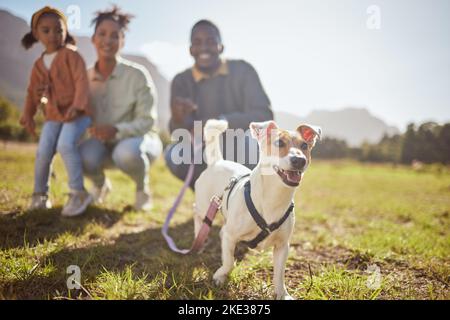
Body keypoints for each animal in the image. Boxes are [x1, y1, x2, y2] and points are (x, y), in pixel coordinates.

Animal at [193, 118, 320, 300]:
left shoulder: (282, 246)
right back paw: (199, 237)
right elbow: (229, 262)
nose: (299, 160)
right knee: (199, 215)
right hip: (205, 204)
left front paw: (282, 294)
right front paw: (220, 275)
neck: (274, 197)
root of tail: (218, 162)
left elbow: (279, 274)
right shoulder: (231, 236)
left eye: (304, 146)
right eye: (279, 142)